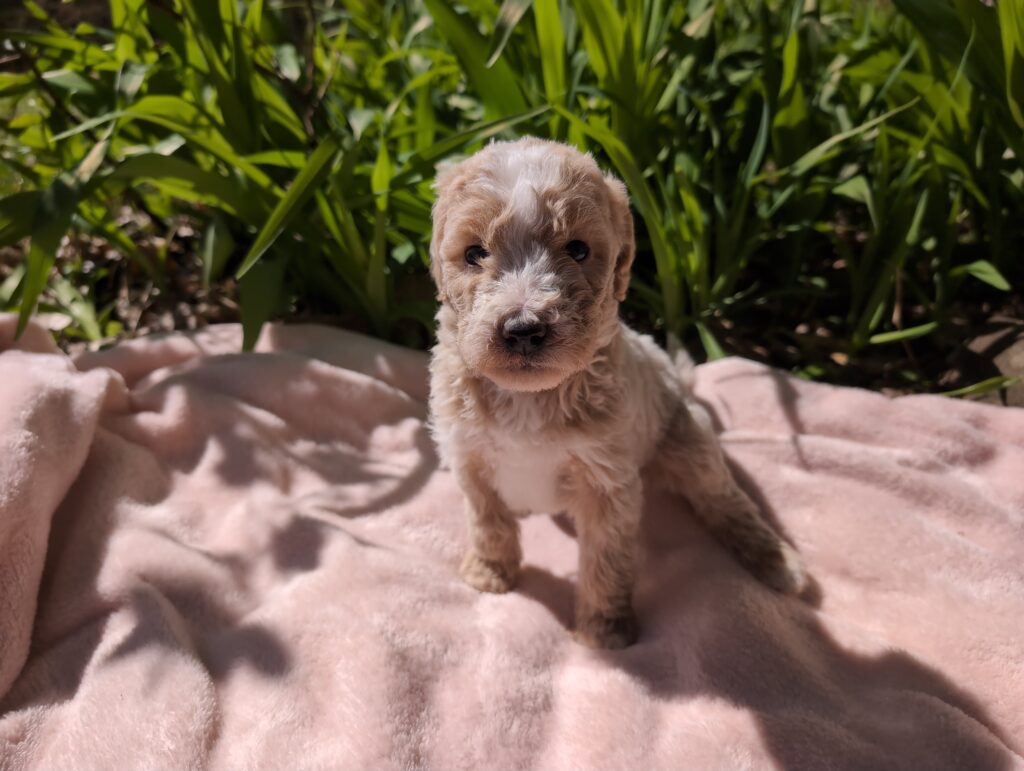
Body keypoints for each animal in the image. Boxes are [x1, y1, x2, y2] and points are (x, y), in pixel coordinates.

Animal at [428, 137, 807, 649]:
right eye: (473, 253)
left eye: (578, 249)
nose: (524, 329)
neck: (529, 396)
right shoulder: (468, 456)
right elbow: (488, 521)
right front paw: (489, 573)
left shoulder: (608, 480)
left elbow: (607, 557)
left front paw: (605, 630)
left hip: (689, 441)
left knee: (725, 499)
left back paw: (776, 561)